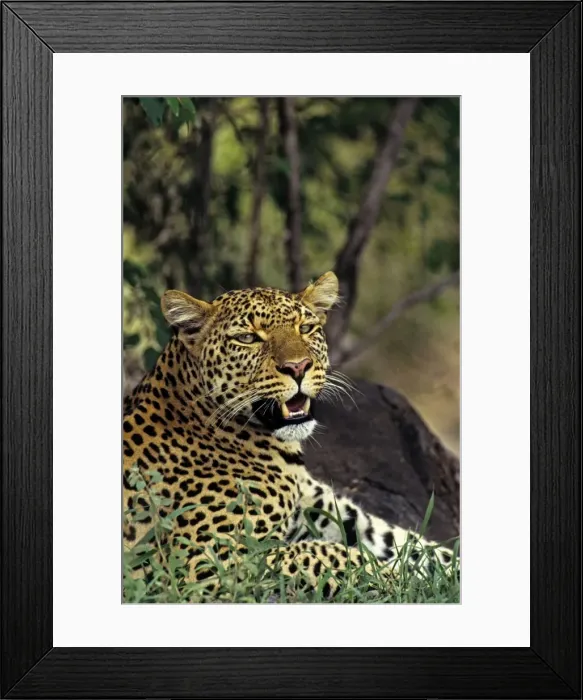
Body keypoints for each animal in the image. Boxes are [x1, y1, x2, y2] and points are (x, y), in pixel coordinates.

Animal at [123, 271, 457, 596]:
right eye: (247, 338)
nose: (298, 367)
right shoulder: (203, 561)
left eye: (306, 328)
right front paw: (397, 580)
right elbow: (328, 554)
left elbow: (410, 544)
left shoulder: (324, 510)